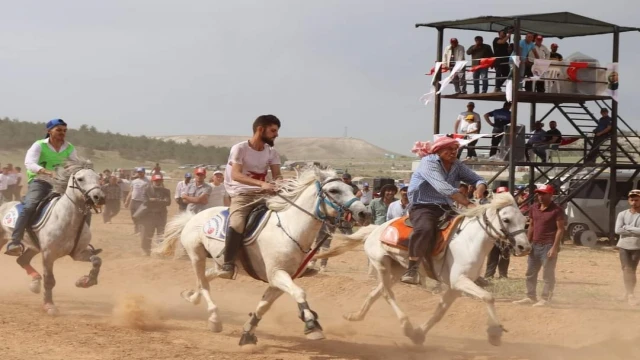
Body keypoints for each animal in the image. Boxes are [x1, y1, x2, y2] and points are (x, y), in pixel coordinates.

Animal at [0, 160, 105, 316]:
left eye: (99, 178)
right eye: (80, 179)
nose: (99, 197)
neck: (67, 219)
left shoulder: (79, 253)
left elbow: (97, 260)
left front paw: (85, 281)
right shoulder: (48, 255)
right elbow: (49, 280)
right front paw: (49, 306)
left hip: (34, 247)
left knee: (22, 260)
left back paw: (35, 283)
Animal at [154, 168, 372, 346]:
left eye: (352, 189)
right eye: (334, 190)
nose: (364, 214)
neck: (289, 229)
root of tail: (193, 218)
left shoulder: (280, 280)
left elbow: (264, 306)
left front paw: (248, 333)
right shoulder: (277, 274)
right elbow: (300, 293)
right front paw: (311, 324)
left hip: (220, 264)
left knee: (206, 277)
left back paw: (191, 296)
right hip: (196, 255)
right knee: (204, 284)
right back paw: (214, 319)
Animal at [318, 193, 532, 348]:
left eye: (524, 220)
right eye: (506, 220)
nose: (525, 248)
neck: (469, 241)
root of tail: (375, 230)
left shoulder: (455, 287)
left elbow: (439, 313)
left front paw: (419, 334)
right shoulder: (459, 281)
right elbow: (488, 297)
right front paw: (494, 333)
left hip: (396, 270)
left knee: (376, 293)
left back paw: (355, 316)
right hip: (381, 265)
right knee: (387, 295)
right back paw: (406, 325)